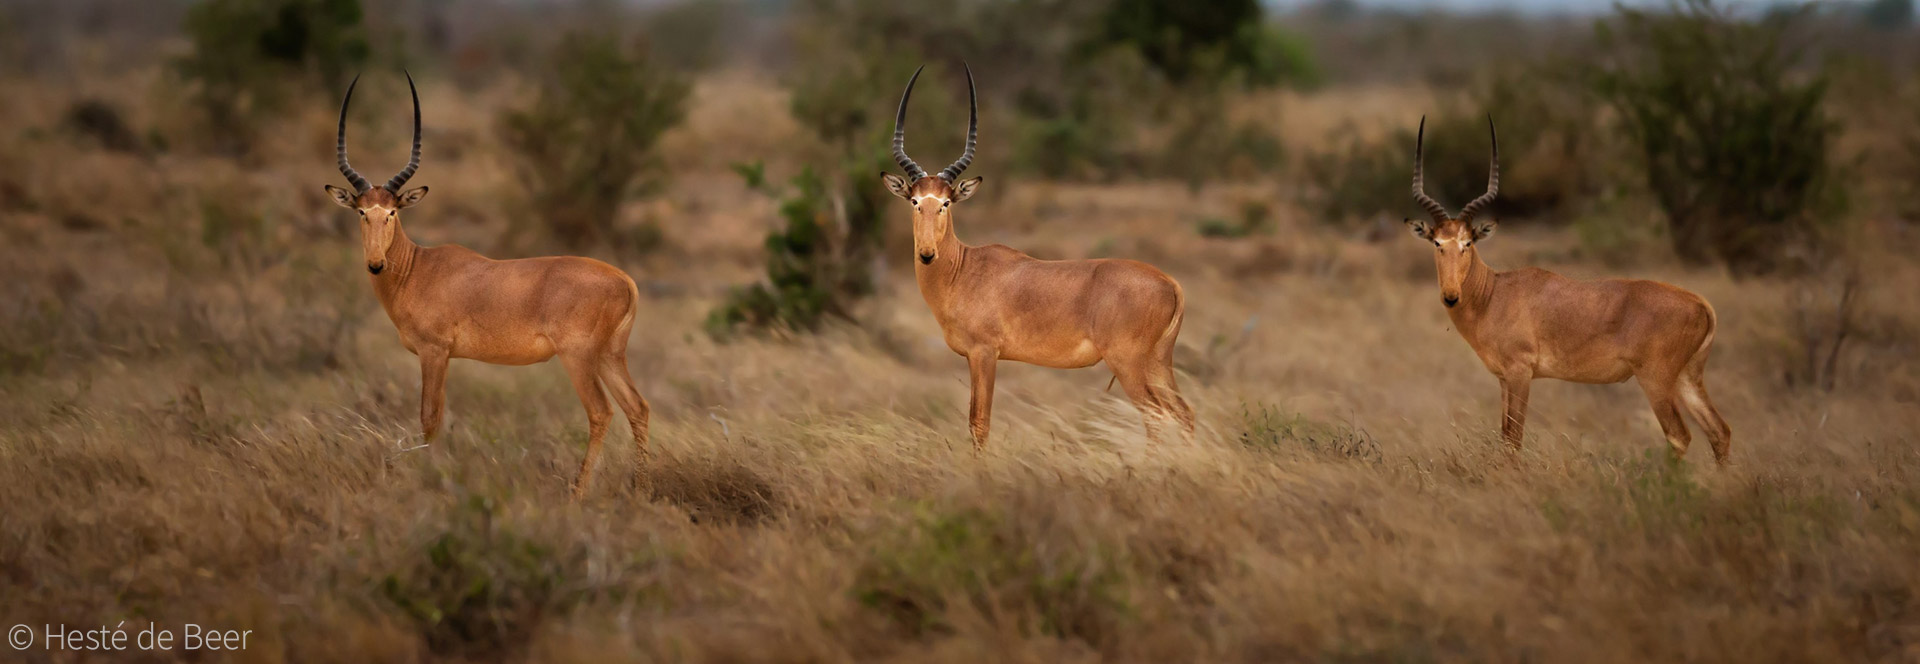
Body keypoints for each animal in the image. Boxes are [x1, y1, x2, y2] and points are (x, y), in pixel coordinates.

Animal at [326, 72, 656, 498]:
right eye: (362, 211)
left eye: (393, 211)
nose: (376, 264)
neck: (419, 268)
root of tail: (625, 281)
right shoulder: (446, 357)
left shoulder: (434, 353)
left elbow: (429, 417)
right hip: (611, 356)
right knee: (638, 406)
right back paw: (642, 490)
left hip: (579, 358)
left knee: (601, 412)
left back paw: (578, 493)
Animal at [879, 64, 1182, 449]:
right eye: (916, 201)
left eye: (946, 202)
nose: (927, 254)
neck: (963, 269)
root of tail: (1170, 283)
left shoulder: (984, 354)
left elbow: (979, 424)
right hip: (1159, 363)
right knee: (1184, 414)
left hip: (1128, 364)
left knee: (1157, 415)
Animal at [1405, 116, 1735, 464]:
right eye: (1437, 242)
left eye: (1467, 242)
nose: (1451, 296)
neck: (1495, 292)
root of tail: (1700, 303)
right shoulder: (1504, 379)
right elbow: (1505, 436)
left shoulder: (1521, 373)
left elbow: (1514, 439)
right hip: (1688, 379)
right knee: (1719, 431)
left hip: (1656, 381)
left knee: (1679, 436)